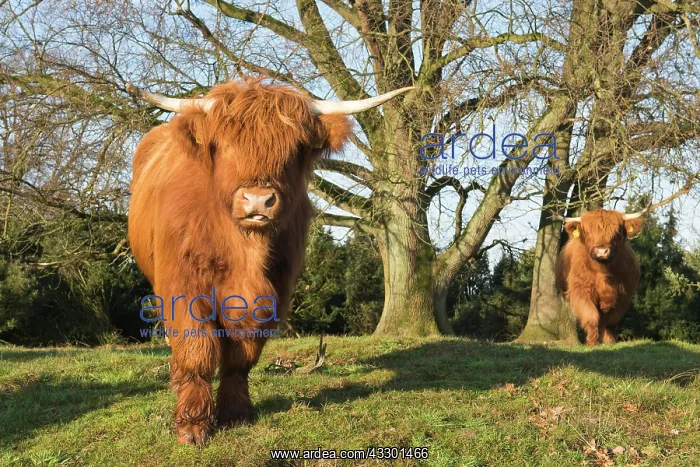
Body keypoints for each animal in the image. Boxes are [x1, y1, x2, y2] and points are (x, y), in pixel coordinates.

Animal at [127, 78, 413, 445]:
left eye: (295, 149)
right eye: (223, 145)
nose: (258, 200)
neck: (244, 249)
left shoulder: (273, 290)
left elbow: (242, 355)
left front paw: (236, 413)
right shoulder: (184, 286)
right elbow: (196, 348)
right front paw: (192, 424)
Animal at [555, 208, 646, 346]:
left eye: (617, 232)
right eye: (588, 232)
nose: (602, 251)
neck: (603, 271)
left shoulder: (622, 297)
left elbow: (610, 320)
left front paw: (609, 341)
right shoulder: (581, 292)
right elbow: (590, 316)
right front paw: (592, 342)